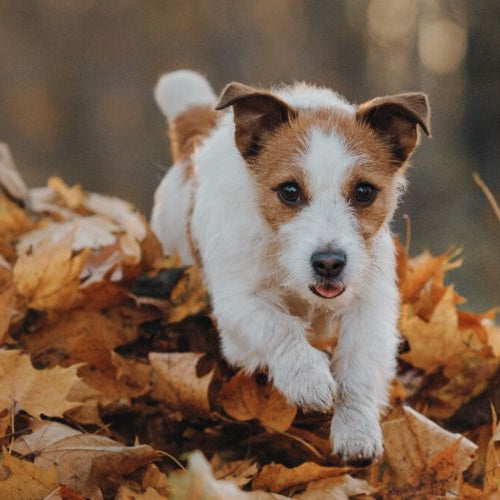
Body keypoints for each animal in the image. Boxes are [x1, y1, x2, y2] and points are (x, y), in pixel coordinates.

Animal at [152, 69, 430, 464]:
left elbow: (358, 367)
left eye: (364, 192)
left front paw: (356, 429)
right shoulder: (238, 307)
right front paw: (308, 378)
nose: (329, 263)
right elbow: (278, 327)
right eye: (289, 191)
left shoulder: (371, 308)